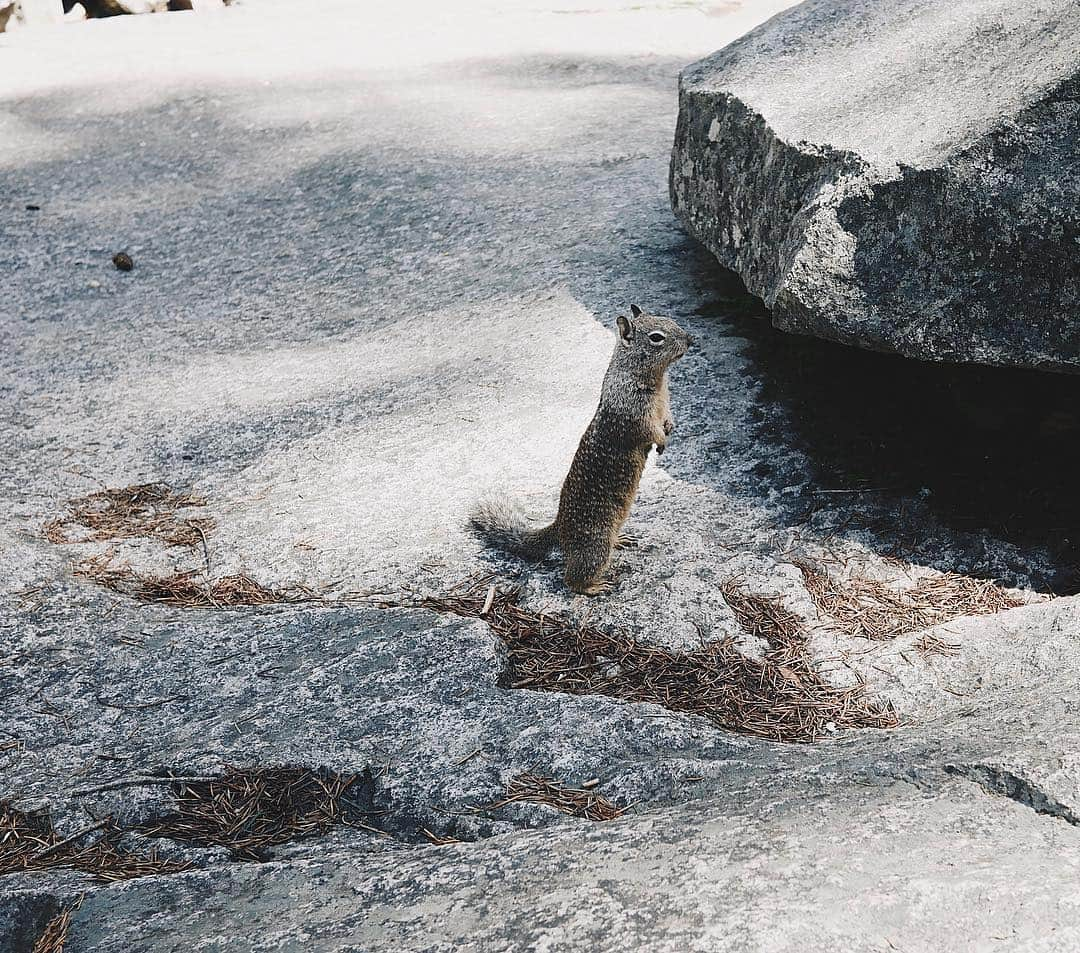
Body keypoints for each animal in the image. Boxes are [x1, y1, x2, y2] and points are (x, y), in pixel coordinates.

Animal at [470, 304, 691, 596]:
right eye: (656, 337)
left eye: (669, 320)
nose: (690, 340)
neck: (654, 378)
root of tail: (559, 527)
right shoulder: (633, 413)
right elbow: (648, 431)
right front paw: (662, 442)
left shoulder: (664, 402)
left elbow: (667, 417)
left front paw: (671, 428)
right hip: (595, 545)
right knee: (572, 579)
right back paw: (594, 586)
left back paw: (621, 540)